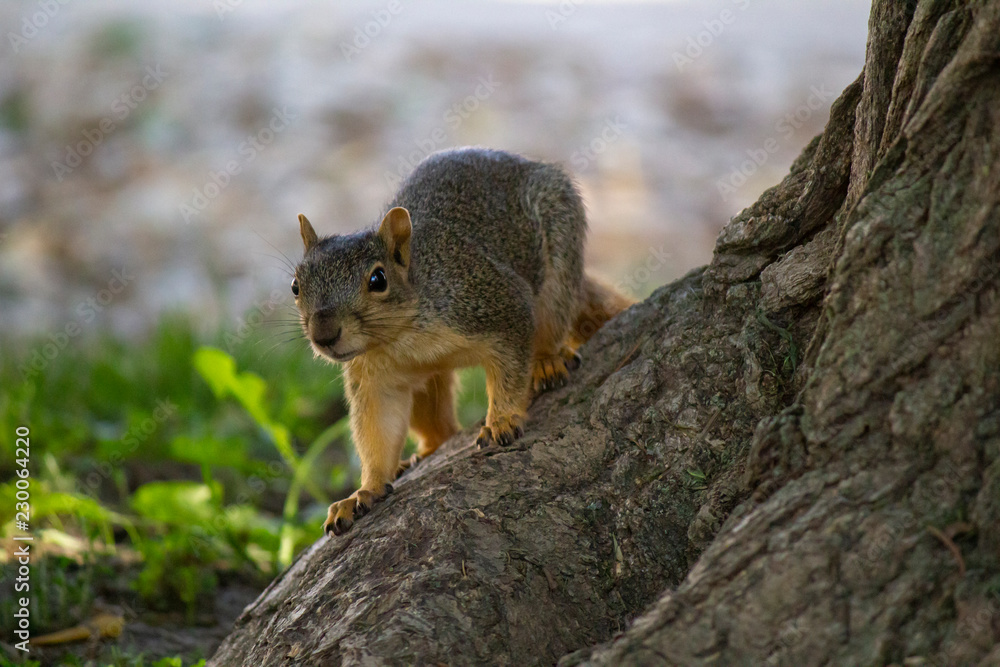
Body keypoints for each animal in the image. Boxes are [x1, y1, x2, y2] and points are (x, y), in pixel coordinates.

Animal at [293, 147, 633, 536]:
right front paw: (365, 490)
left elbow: (510, 372)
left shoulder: (497, 306)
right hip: (423, 384)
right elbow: (378, 429)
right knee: (437, 423)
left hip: (559, 246)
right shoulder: (374, 377)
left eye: (378, 280)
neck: (400, 334)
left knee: (553, 317)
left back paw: (547, 360)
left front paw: (502, 420)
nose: (324, 335)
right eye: (296, 286)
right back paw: (424, 451)